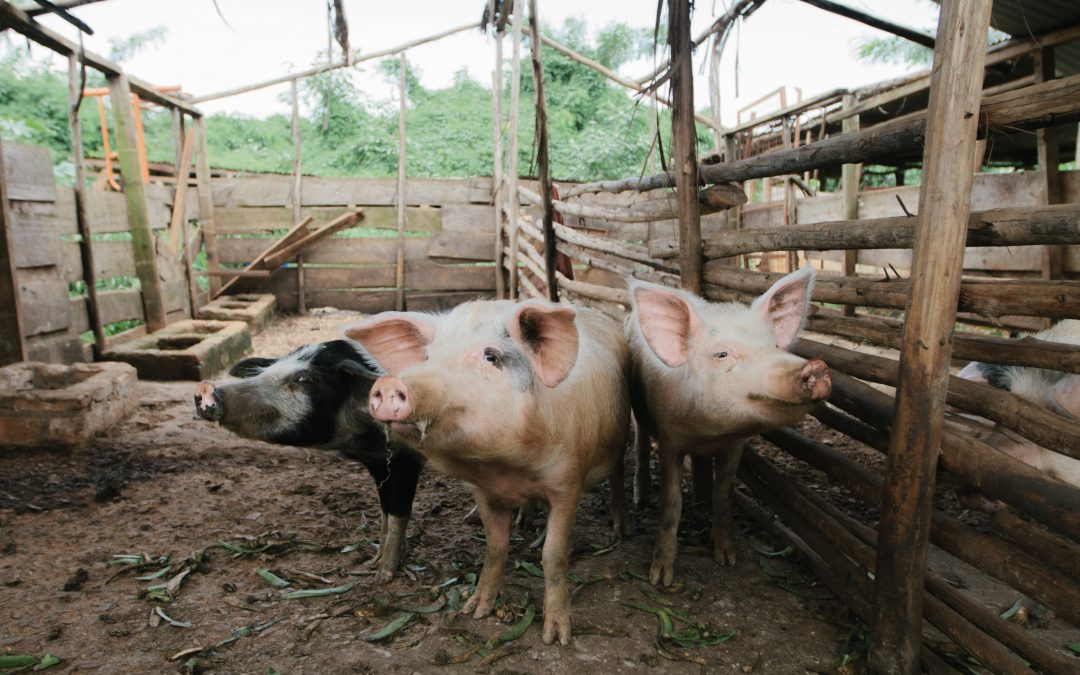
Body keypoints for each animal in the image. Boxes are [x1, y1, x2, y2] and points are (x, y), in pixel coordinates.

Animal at [193, 340, 423, 582]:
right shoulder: (378, 464)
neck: (367, 439)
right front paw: (372, 562)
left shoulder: (406, 461)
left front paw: (382, 576)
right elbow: (384, 510)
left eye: (304, 379)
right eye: (266, 370)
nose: (208, 388)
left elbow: (398, 513)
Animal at [345, 300, 631, 646]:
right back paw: (524, 522)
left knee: (618, 475)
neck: (506, 467)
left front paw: (556, 637)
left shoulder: (567, 483)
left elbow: (553, 554)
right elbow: (495, 547)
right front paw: (476, 610)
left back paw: (620, 529)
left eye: (491, 356)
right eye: (428, 356)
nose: (389, 384)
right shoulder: (483, 490)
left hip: (620, 437)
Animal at [627, 266, 831, 587]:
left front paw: (727, 559)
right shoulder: (671, 440)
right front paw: (660, 579)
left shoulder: (734, 445)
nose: (816, 367)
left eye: (774, 346)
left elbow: (724, 494)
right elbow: (671, 502)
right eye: (721, 354)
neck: (707, 433)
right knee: (640, 444)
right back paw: (640, 500)